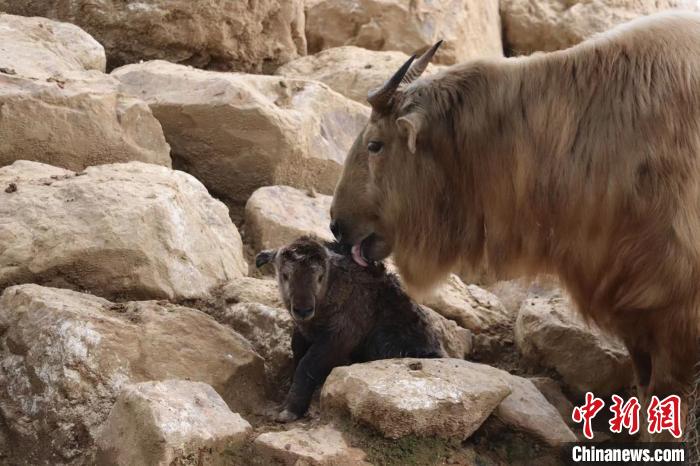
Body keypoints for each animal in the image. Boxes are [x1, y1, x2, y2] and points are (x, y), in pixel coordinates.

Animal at [256, 235, 442, 420]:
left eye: (320, 277)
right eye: (285, 275)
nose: (303, 310)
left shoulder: (340, 337)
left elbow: (307, 364)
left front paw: (290, 409)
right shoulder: (304, 331)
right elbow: (297, 351)